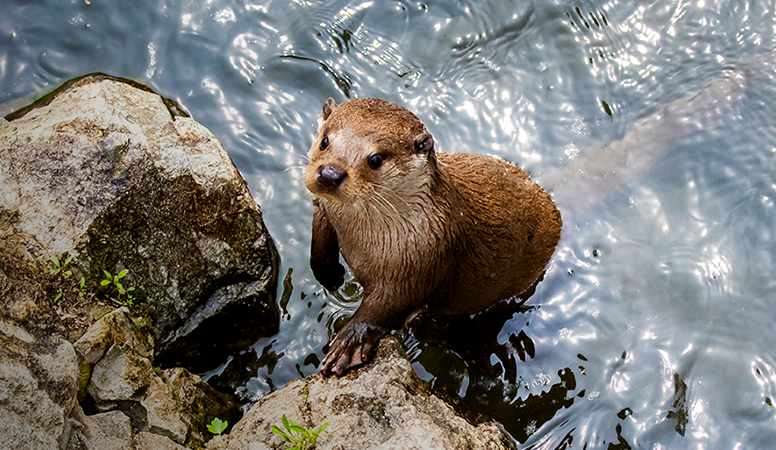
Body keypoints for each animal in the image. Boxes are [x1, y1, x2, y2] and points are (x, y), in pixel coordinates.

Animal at [304, 98, 564, 376]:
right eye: (325, 140)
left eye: (375, 159)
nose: (330, 174)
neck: (360, 238)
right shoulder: (324, 211)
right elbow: (318, 243)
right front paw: (330, 275)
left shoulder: (423, 258)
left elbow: (384, 309)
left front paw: (347, 345)